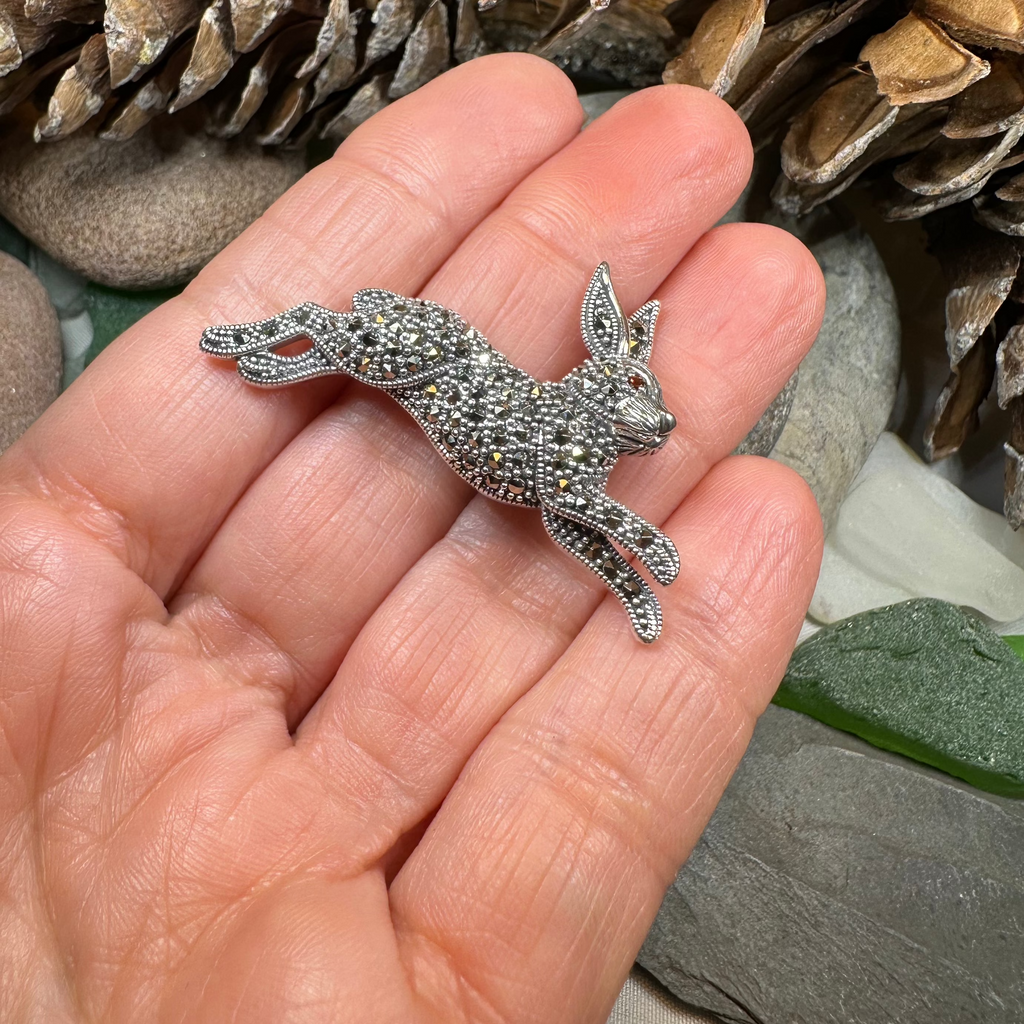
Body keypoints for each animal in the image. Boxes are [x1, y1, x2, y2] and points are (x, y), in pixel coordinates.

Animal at [200, 263, 679, 642]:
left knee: (319, 346)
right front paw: (665, 565)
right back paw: (224, 339)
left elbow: (612, 563)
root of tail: (394, 303)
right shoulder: (568, 494)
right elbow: (629, 525)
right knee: (310, 312)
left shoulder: (562, 518)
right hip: (385, 354)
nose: (668, 426)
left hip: (366, 361)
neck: (585, 413)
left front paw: (647, 619)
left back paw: (259, 364)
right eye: (638, 382)